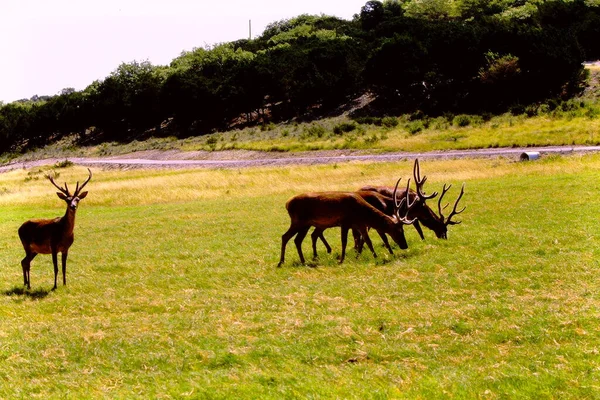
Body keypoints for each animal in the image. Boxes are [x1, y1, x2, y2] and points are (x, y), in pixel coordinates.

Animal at [278, 177, 414, 266]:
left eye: (402, 230)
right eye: (397, 231)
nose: (405, 245)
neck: (361, 212)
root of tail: (287, 203)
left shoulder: (360, 224)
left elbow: (368, 241)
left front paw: (375, 256)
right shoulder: (345, 222)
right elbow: (344, 242)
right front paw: (342, 260)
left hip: (305, 224)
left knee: (297, 240)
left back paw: (303, 261)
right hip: (298, 221)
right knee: (285, 236)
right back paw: (281, 262)